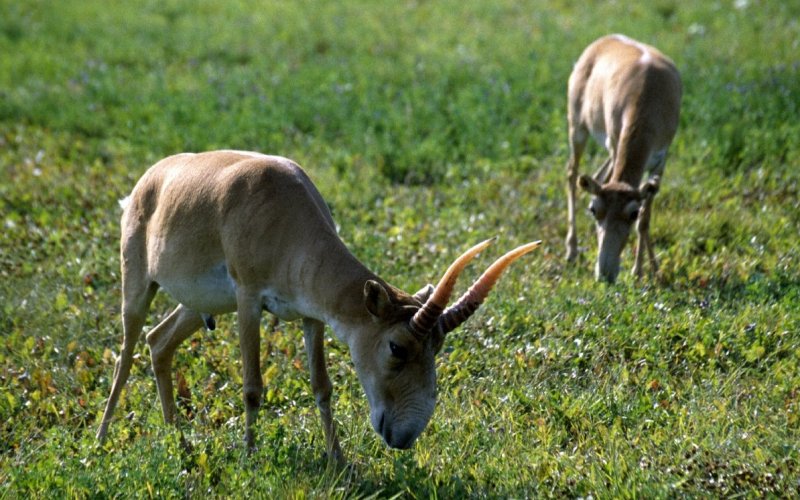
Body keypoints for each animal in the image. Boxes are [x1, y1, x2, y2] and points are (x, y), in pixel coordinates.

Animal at [97, 150, 540, 462]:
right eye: (396, 347)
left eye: (439, 347)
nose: (404, 436)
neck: (284, 212)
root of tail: (148, 180)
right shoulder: (248, 299)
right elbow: (252, 387)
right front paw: (250, 457)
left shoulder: (312, 315)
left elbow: (322, 386)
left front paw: (338, 460)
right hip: (138, 282)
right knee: (126, 352)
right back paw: (100, 441)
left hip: (199, 305)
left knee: (158, 342)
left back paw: (180, 441)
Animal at [564, 34, 680, 284]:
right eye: (593, 209)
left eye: (632, 213)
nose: (605, 274)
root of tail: (604, 39)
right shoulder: (616, 142)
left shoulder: (660, 160)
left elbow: (646, 219)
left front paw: (647, 270)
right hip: (578, 127)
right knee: (572, 174)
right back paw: (572, 250)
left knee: (597, 177)